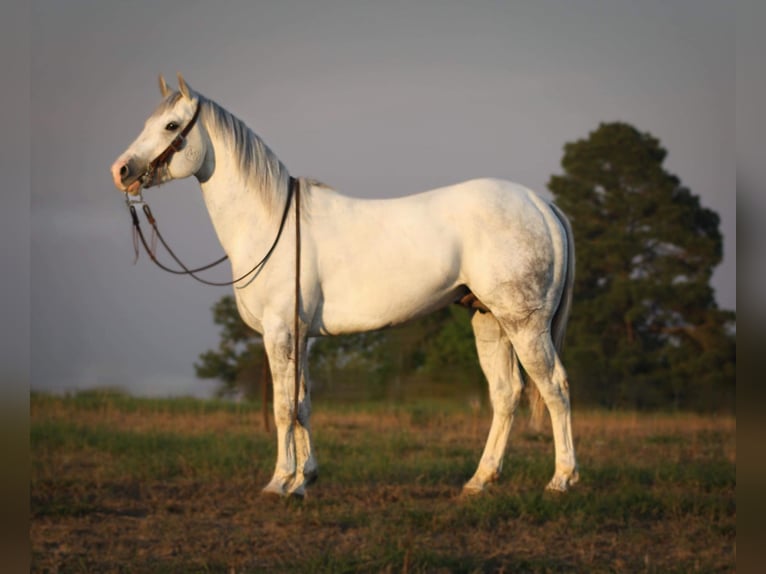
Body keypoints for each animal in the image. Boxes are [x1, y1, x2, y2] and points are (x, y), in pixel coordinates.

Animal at [112, 74, 584, 500]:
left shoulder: (279, 332)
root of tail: (542, 205)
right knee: (506, 395)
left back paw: (561, 480)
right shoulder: (300, 335)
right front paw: (304, 481)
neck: (271, 223)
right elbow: (302, 404)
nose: (121, 170)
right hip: (489, 321)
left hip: (525, 324)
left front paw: (279, 483)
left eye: (171, 126)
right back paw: (480, 481)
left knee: (555, 387)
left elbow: (283, 408)